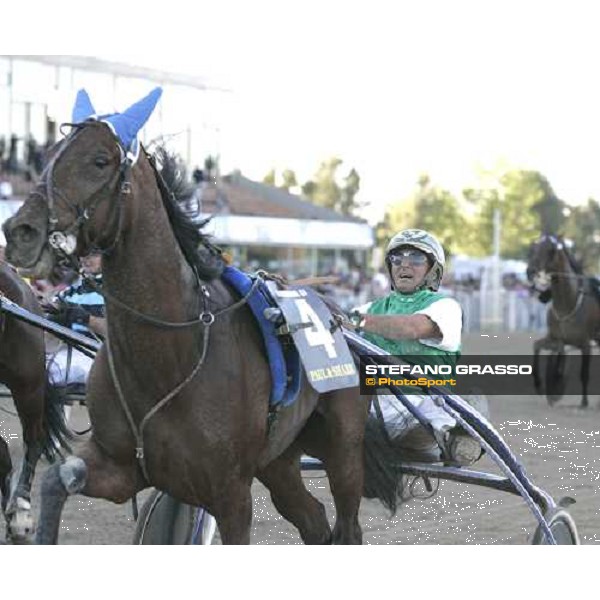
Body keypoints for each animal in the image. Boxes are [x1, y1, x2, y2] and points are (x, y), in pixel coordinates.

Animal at [2, 90, 390, 544]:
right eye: (47, 156)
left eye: (99, 160)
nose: (19, 232)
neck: (171, 353)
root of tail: (339, 317)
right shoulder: (124, 466)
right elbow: (58, 479)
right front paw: (27, 520)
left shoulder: (231, 494)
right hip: (278, 459)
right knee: (312, 518)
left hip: (342, 447)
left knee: (347, 524)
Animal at [524, 234, 600, 408]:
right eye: (533, 248)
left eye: (550, 250)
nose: (530, 271)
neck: (567, 303)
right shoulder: (555, 338)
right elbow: (538, 346)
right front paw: (541, 385)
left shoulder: (585, 344)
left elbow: (584, 373)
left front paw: (584, 402)